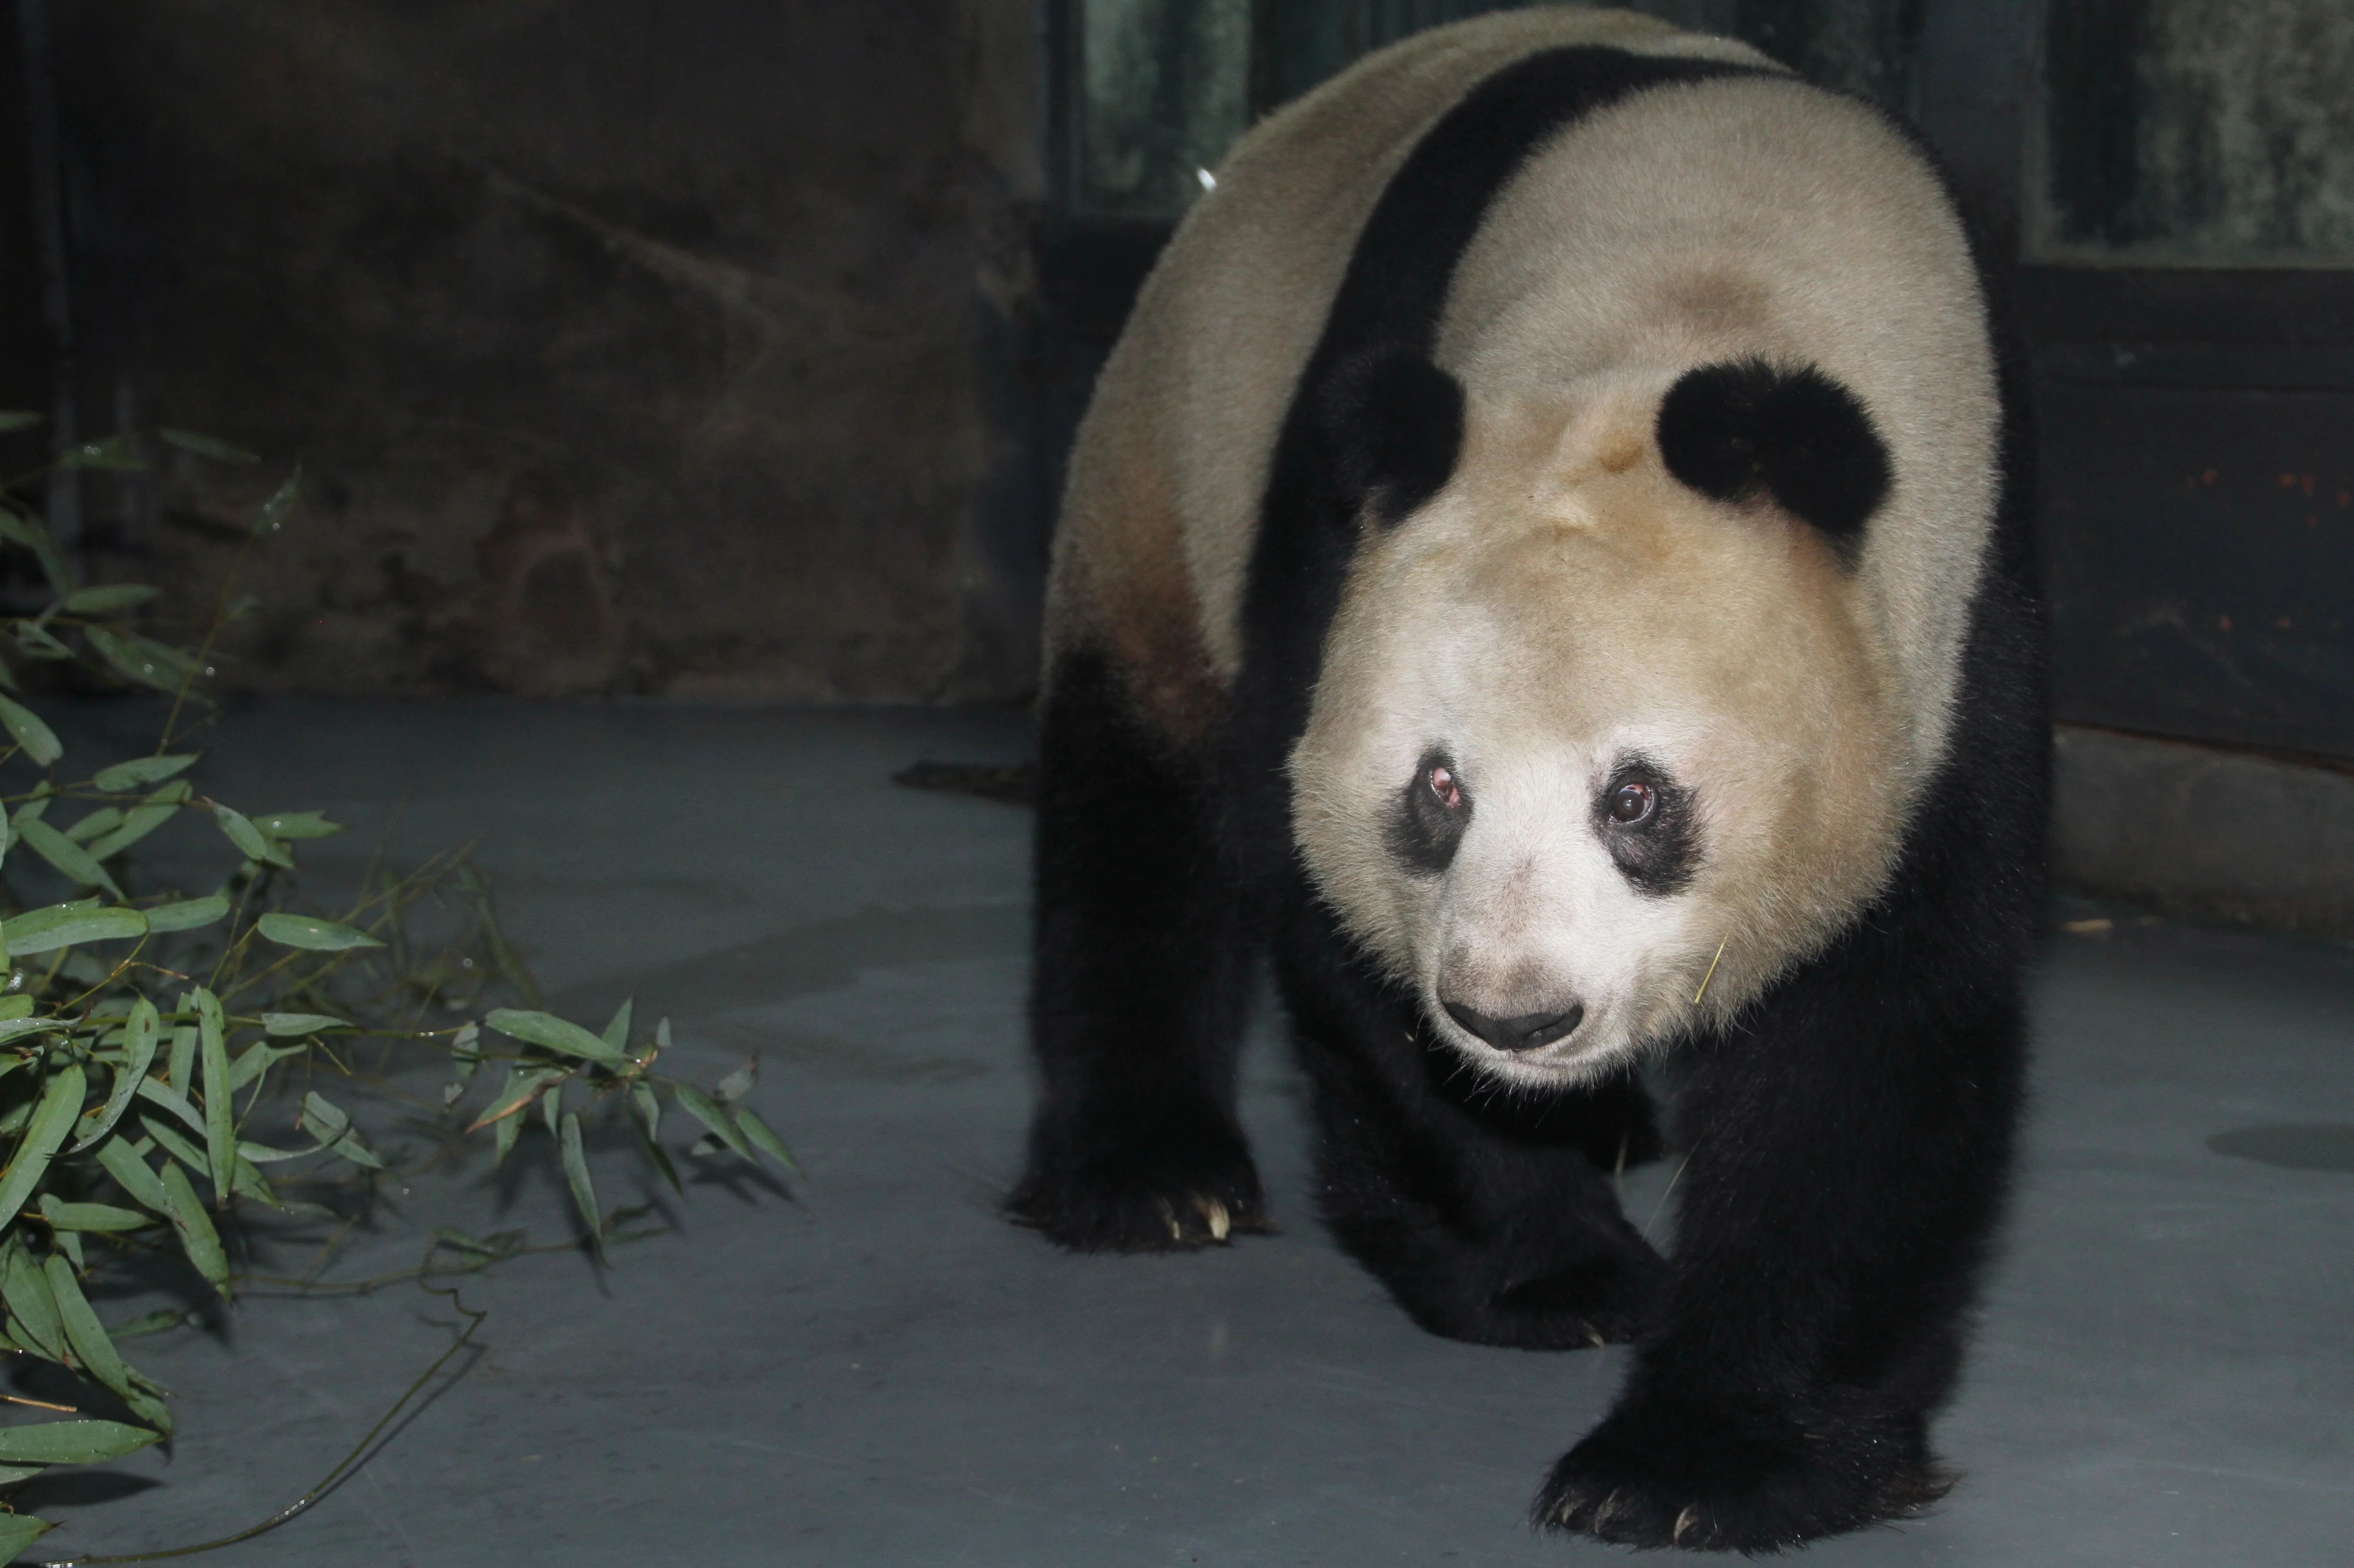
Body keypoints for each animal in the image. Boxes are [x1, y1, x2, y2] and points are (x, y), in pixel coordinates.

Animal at [1008, 6, 2044, 1553]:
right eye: (1437, 790)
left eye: (1636, 799)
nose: (1515, 1014)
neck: (1687, 281)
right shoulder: (1339, 545)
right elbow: (1326, 906)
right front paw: (1560, 1277)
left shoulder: (1946, 635)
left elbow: (1876, 1033)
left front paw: (1696, 1463)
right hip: (1161, 462)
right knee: (1134, 795)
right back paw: (1154, 1176)